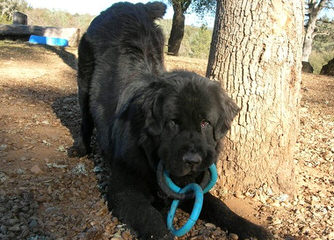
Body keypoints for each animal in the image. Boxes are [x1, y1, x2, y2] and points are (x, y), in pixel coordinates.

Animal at [72, 1, 272, 240]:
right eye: (173, 122)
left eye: (205, 123)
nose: (193, 160)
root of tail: (129, 6)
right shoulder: (125, 193)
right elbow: (152, 222)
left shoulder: (194, 185)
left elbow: (221, 208)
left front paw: (255, 230)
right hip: (84, 80)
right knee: (85, 118)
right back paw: (80, 148)